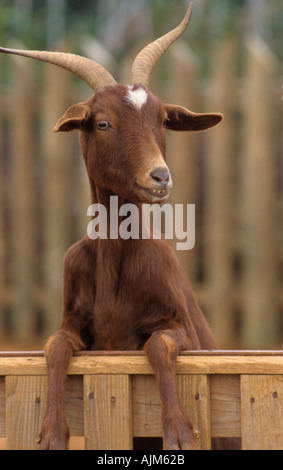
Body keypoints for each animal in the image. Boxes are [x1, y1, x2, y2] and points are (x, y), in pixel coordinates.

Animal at [1, 4, 225, 452]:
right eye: (102, 123)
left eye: (163, 119)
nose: (160, 177)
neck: (116, 262)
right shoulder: (73, 320)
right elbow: (54, 346)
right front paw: (51, 432)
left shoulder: (182, 326)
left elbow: (158, 344)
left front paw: (179, 430)